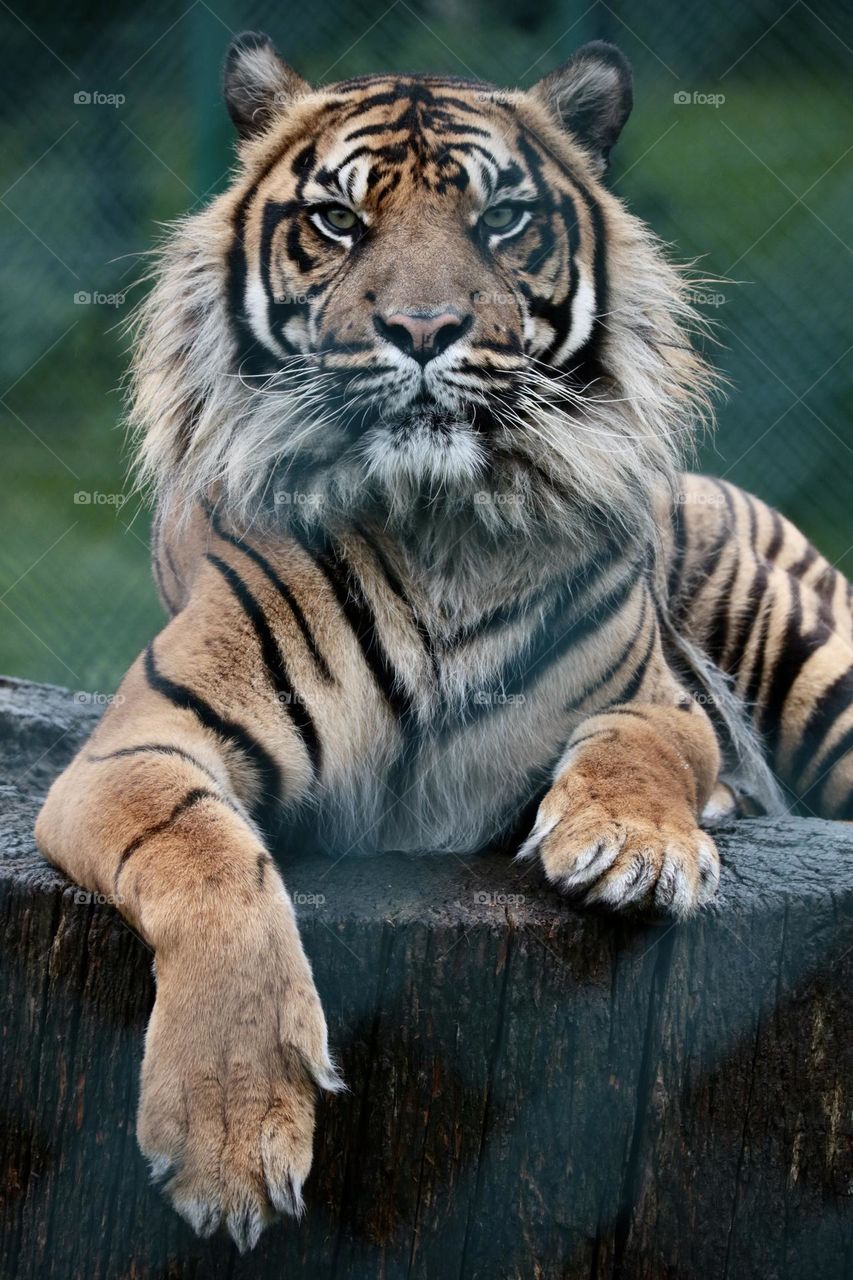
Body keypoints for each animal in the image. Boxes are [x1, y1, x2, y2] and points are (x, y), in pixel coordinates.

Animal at [35, 31, 853, 1252]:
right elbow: (212, 861)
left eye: (500, 219)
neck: (441, 529)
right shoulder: (138, 748)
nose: (423, 332)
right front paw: (230, 1134)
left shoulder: (663, 696)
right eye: (337, 220)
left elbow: (642, 745)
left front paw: (632, 844)